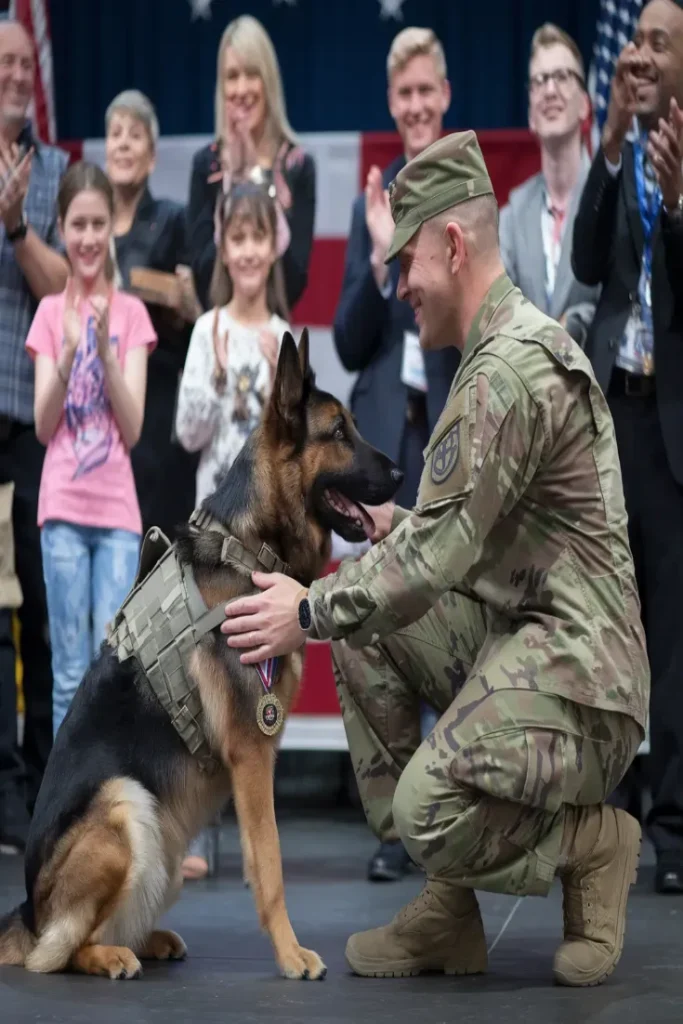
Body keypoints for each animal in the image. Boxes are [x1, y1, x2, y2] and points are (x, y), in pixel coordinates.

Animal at [0, 329, 401, 983]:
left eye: (355, 427)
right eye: (339, 432)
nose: (401, 472)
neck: (249, 547)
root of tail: (26, 912)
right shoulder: (252, 752)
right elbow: (269, 864)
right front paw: (290, 954)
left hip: (165, 836)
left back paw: (146, 941)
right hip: (127, 805)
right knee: (58, 952)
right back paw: (109, 955)